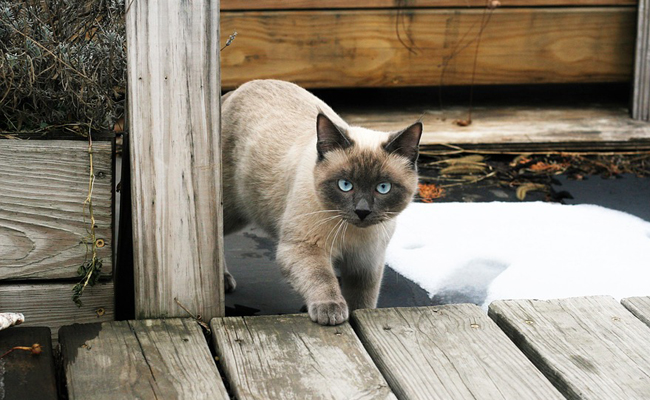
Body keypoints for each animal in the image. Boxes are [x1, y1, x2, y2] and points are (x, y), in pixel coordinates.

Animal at [220, 79, 420, 324]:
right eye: (345, 185)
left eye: (383, 188)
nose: (362, 211)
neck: (353, 234)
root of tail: (238, 88)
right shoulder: (304, 247)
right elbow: (322, 278)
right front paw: (331, 311)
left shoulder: (366, 264)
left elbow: (363, 302)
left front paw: (357, 314)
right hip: (231, 213)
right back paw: (223, 280)